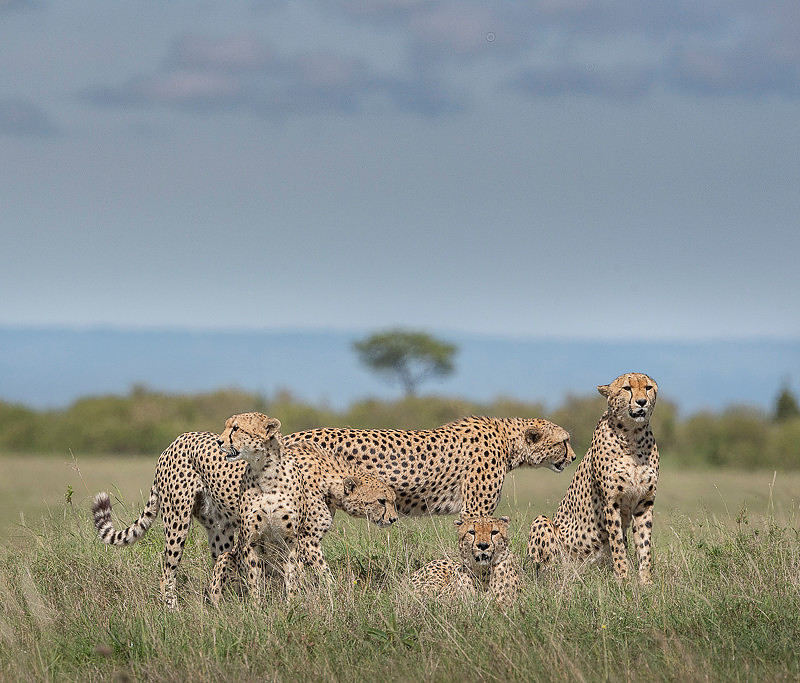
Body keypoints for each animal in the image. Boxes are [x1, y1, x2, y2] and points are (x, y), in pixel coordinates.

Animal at [92, 413, 397, 608]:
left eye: (392, 499)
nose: (394, 518)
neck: (329, 478)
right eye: (382, 501)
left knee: (220, 561)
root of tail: (176, 439)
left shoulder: (288, 539)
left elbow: (286, 574)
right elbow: (323, 575)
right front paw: (338, 597)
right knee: (168, 565)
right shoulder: (308, 542)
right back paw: (171, 609)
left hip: (221, 529)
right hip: (177, 519)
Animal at [527, 372, 659, 584]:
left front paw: (646, 581)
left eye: (648, 387)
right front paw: (623, 579)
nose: (641, 402)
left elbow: (644, 545)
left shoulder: (644, 503)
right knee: (547, 567)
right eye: (627, 388)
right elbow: (617, 545)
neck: (633, 436)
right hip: (544, 526)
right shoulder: (611, 503)